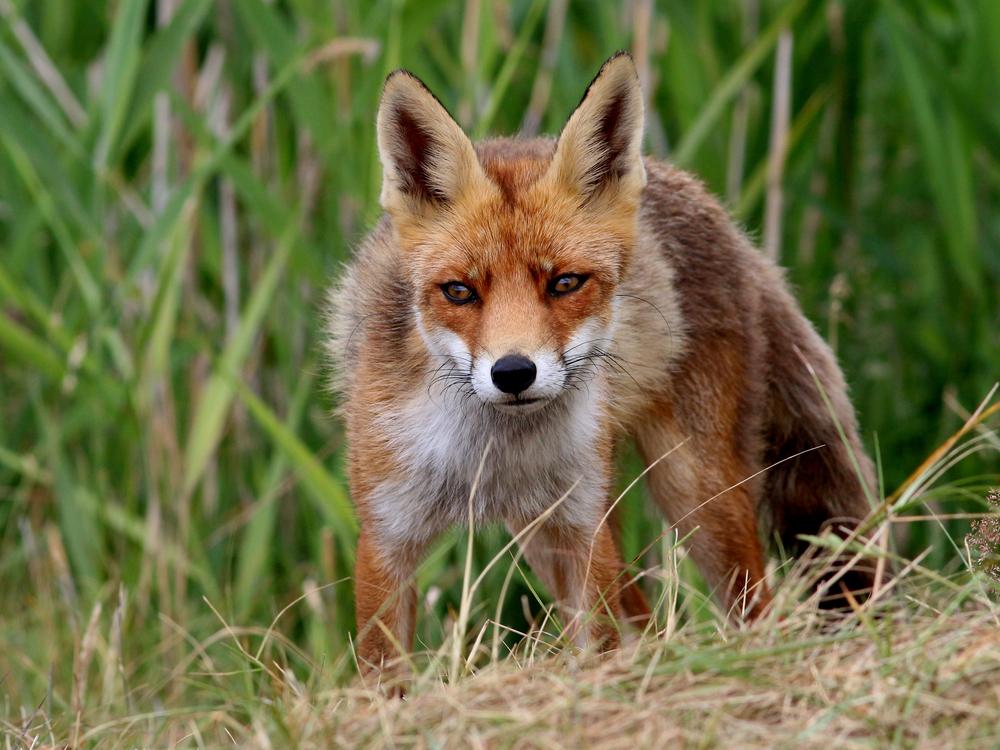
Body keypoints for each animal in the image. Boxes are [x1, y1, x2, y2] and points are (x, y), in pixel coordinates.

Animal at [326, 52, 876, 678]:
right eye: (459, 291)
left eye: (565, 283)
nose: (512, 372)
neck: (489, 457)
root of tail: (718, 213)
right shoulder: (386, 536)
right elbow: (382, 672)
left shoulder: (582, 527)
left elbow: (601, 639)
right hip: (549, 533)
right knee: (647, 617)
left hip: (694, 489)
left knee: (751, 606)